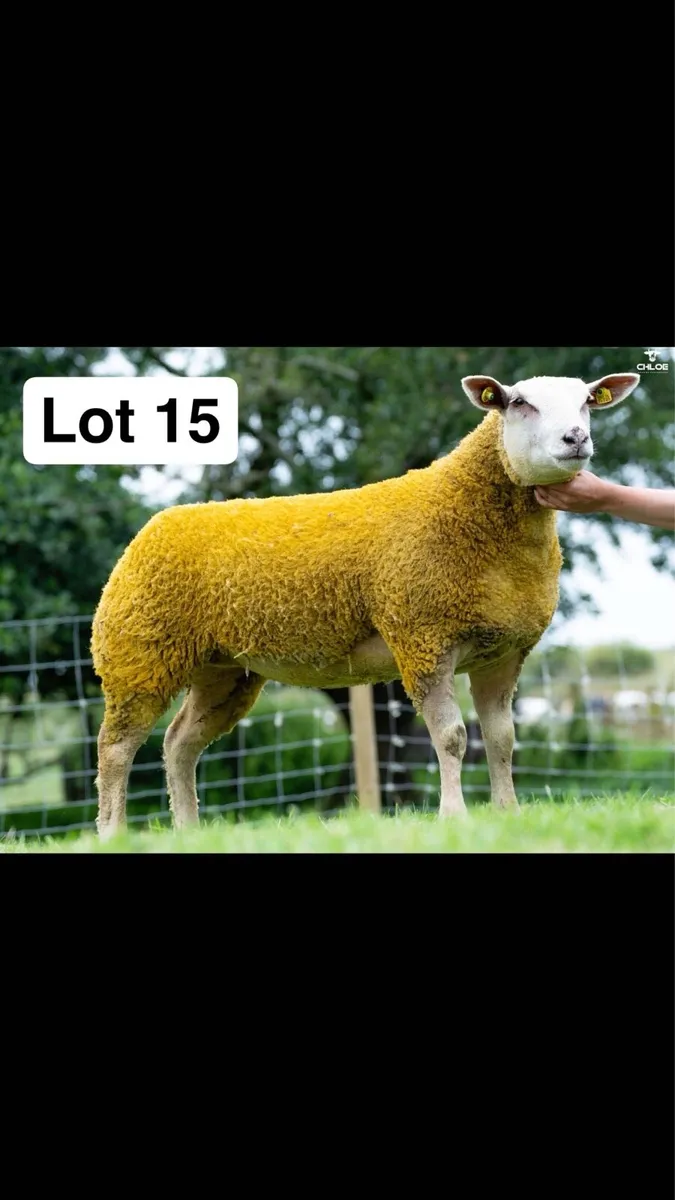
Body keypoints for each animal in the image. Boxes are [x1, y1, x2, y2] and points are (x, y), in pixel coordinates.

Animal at [91, 370, 640, 837]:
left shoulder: (503, 653)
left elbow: (502, 739)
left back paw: (188, 830)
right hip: (138, 654)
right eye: (520, 403)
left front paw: (508, 814)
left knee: (178, 743)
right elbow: (452, 736)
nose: (576, 438)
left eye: (587, 401)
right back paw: (113, 833)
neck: (471, 514)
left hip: (222, 670)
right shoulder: (423, 638)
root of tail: (153, 527)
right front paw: (454, 816)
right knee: (115, 749)